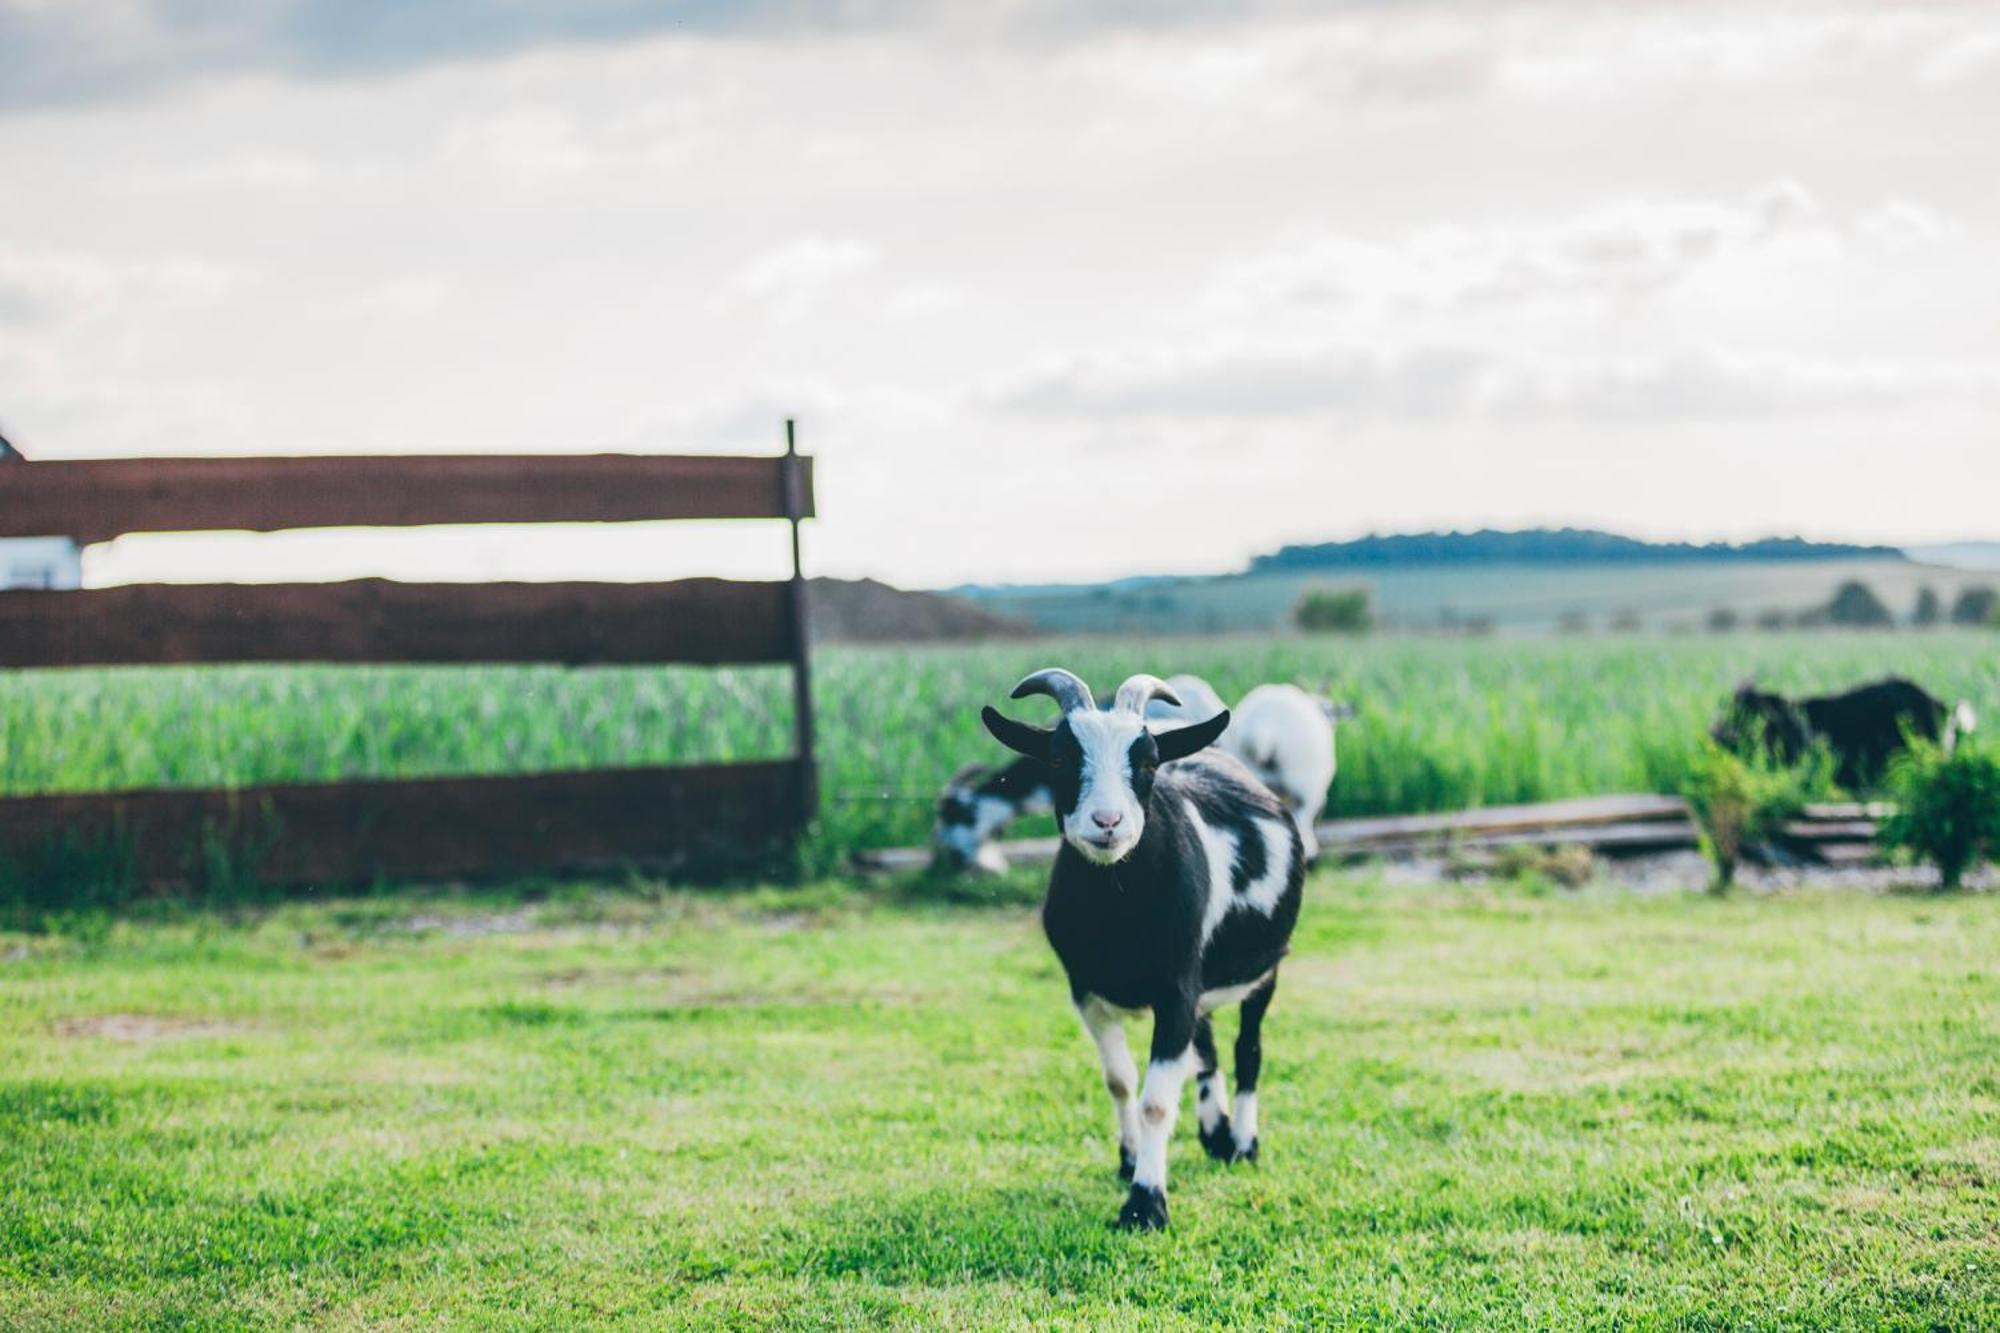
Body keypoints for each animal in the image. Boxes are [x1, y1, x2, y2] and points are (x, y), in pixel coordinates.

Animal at [984, 664, 1312, 1224]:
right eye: (1059, 758)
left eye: (1149, 763)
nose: (1108, 822)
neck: (1118, 911)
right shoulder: (1088, 993)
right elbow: (1121, 1081)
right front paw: (1129, 1159)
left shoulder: (1176, 989)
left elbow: (1157, 1100)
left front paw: (1145, 1205)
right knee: (1206, 1049)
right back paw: (1215, 1134)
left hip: (1266, 971)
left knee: (1248, 1049)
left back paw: (1243, 1143)